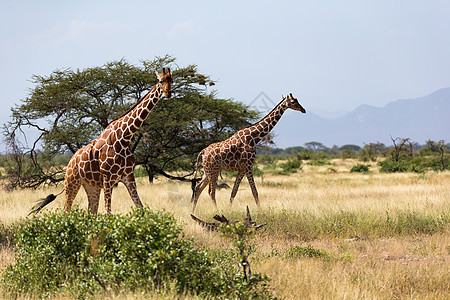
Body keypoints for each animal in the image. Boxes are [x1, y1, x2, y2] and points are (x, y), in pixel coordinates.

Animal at [31, 68, 172, 213]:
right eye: (161, 81)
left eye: (171, 80)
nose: (167, 93)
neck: (124, 138)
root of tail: (70, 162)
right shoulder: (107, 178)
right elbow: (107, 213)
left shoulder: (128, 177)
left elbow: (141, 208)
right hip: (71, 183)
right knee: (66, 210)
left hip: (92, 186)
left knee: (91, 212)